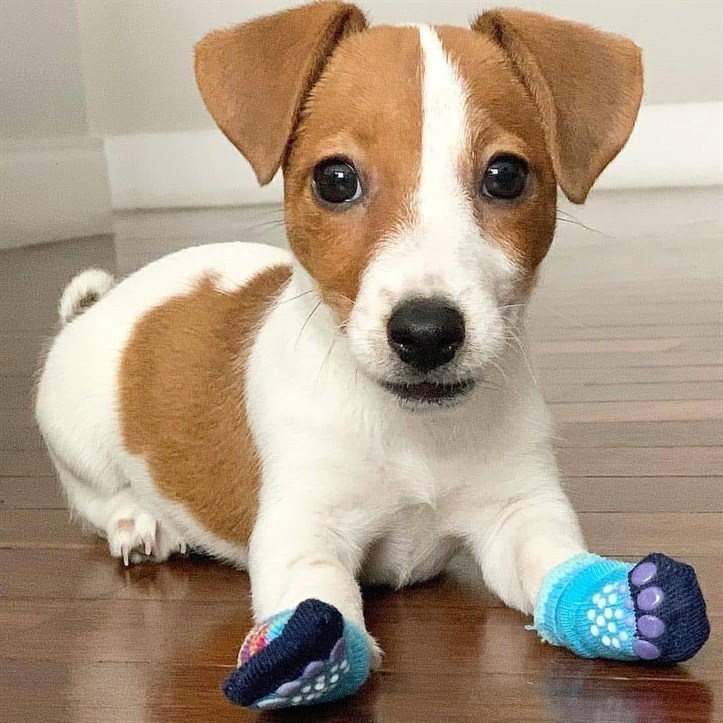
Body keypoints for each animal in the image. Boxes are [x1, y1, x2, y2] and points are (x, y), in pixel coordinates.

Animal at [39, 0, 696, 709]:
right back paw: (138, 522)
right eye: (335, 180)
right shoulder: (302, 524)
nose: (427, 332)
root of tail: (99, 304)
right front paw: (307, 655)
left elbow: (552, 561)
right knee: (93, 499)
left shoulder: (518, 510)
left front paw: (623, 606)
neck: (413, 432)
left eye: (505, 175)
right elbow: (318, 593)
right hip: (77, 437)